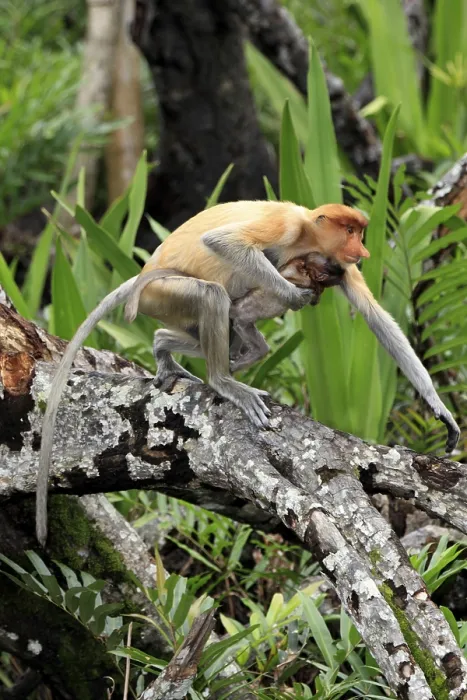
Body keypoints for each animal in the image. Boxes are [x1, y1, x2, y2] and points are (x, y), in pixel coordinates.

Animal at [36, 200, 460, 546]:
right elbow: (223, 242)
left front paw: (441, 410)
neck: (307, 235)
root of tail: (145, 275)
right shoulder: (285, 226)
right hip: (165, 294)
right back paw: (222, 378)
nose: (363, 251)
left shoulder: (339, 266)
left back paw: (175, 350)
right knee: (214, 296)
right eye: (350, 231)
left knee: (221, 320)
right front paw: (293, 293)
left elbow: (375, 316)